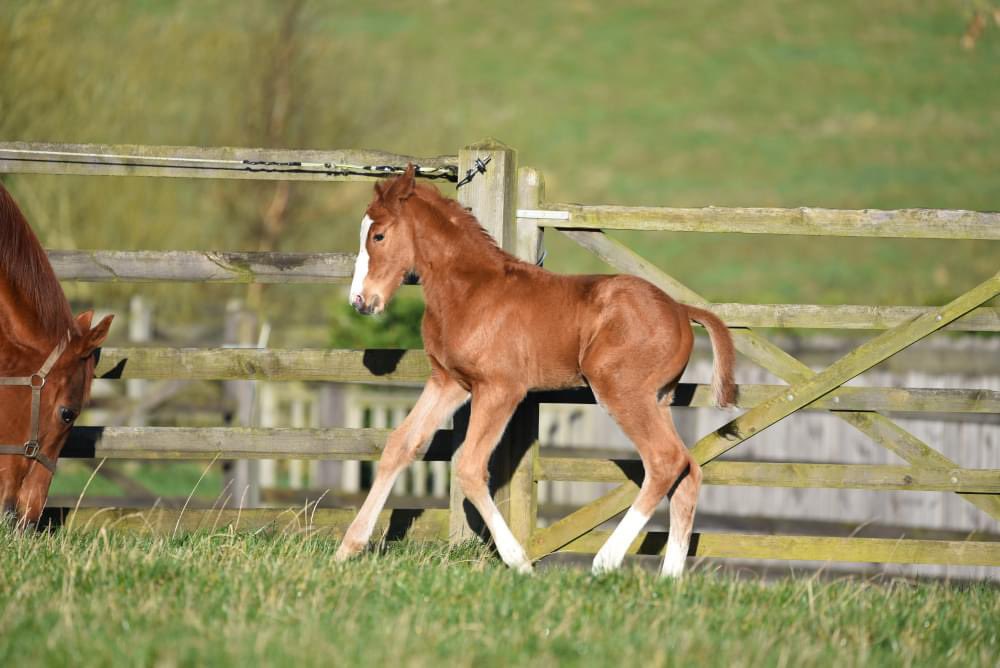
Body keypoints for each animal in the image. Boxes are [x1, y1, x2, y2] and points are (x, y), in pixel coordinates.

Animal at [336, 164, 736, 576]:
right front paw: (348, 548)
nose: (360, 301)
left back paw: (605, 561)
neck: (470, 291)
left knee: (664, 461)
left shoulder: (500, 388)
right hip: (658, 399)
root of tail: (681, 309)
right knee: (688, 469)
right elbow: (400, 445)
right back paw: (669, 578)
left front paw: (520, 562)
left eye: (379, 235)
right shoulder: (449, 382)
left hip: (621, 391)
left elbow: (470, 468)